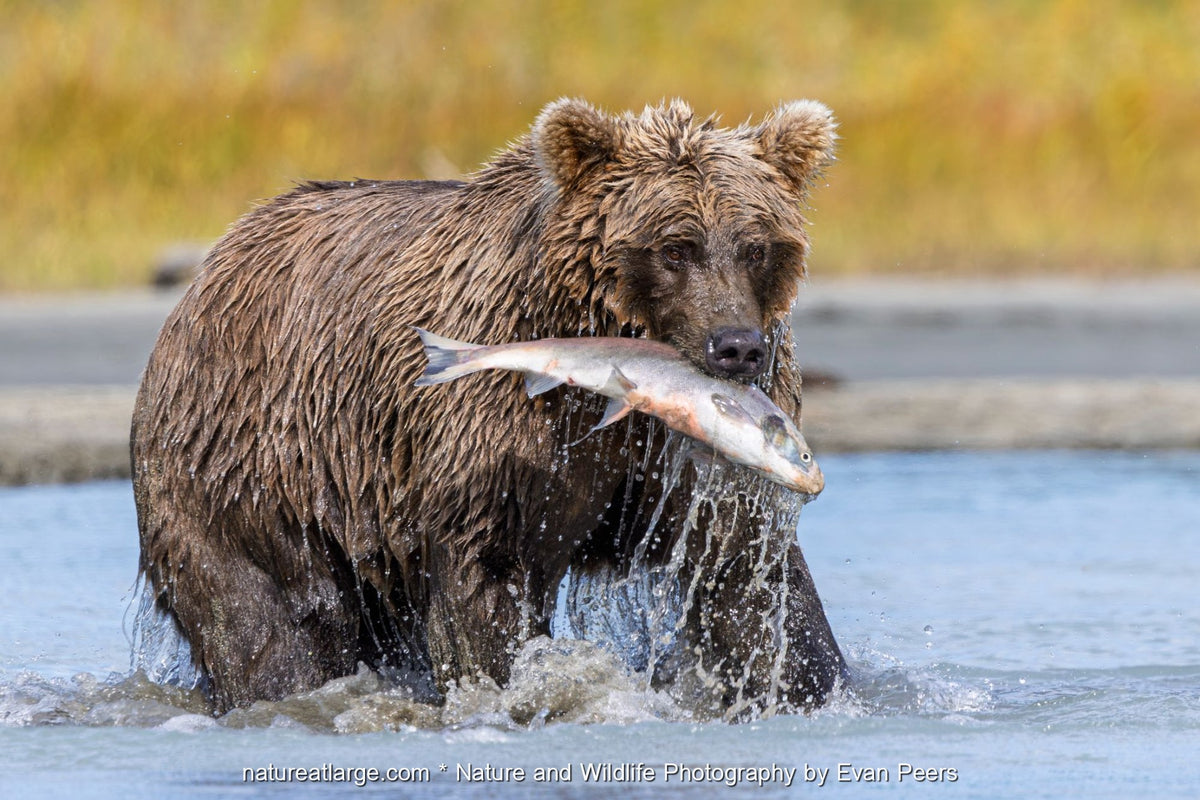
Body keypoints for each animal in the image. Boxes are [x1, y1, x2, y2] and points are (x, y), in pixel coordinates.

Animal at [131, 98, 846, 716]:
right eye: (675, 247)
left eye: (756, 245)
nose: (737, 346)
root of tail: (214, 263)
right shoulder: (498, 438)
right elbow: (486, 578)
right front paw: (509, 688)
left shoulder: (682, 466)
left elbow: (750, 578)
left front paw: (808, 685)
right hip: (251, 466)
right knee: (265, 623)